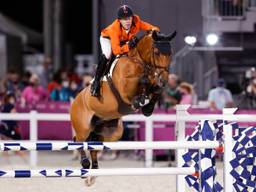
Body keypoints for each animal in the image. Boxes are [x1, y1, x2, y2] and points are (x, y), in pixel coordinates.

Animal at [70, 29, 176, 184]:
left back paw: (94, 170)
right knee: (77, 141)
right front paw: (140, 100)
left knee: (94, 146)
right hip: (83, 127)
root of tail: (75, 100)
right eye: (156, 52)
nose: (164, 80)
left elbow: (154, 89)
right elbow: (140, 85)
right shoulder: (125, 90)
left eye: (170, 53)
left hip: (112, 133)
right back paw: (85, 164)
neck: (139, 62)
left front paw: (147, 108)